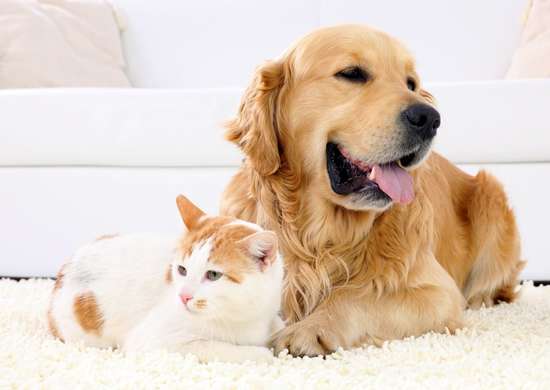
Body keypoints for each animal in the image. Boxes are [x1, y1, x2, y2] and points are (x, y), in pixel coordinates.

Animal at [47, 195, 284, 362]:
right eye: (182, 269)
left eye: (213, 275)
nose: (183, 296)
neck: (244, 315)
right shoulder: (154, 341)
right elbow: (218, 348)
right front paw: (262, 353)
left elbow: (279, 325)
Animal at [220, 22, 528, 354]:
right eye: (352, 73)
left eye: (410, 83)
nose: (429, 118)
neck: (322, 235)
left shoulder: (438, 292)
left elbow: (354, 295)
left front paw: (309, 329)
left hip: (490, 194)